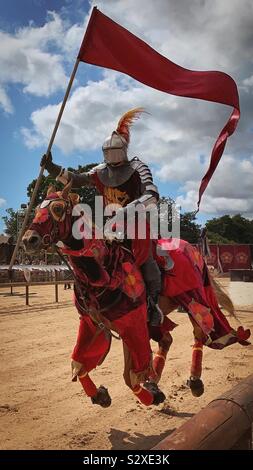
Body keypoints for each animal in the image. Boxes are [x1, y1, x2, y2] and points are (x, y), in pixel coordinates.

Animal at [22, 184, 251, 408]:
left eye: (58, 208)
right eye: (36, 209)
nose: (28, 240)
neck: (104, 270)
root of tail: (192, 249)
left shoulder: (132, 324)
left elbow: (129, 376)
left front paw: (152, 397)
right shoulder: (92, 324)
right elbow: (79, 363)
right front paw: (101, 395)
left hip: (193, 298)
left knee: (200, 332)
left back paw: (194, 381)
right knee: (167, 339)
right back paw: (155, 382)